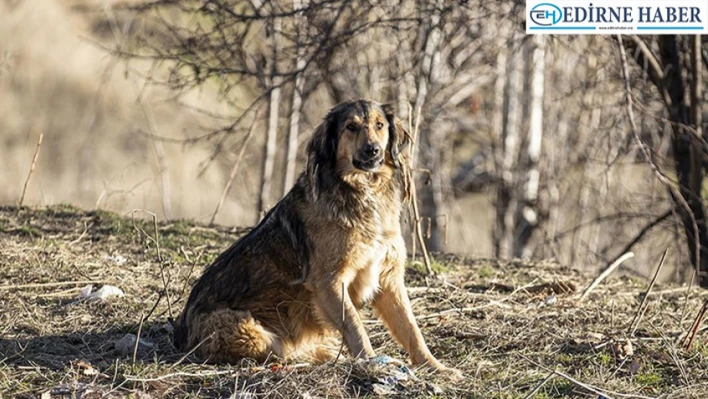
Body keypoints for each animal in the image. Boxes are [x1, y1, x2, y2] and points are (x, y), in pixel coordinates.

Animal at [174, 99, 456, 376]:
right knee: (280, 351)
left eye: (380, 125)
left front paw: (434, 365)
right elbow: (355, 326)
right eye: (351, 127)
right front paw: (372, 362)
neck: (364, 190)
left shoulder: (388, 277)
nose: (373, 150)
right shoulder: (329, 281)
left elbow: (410, 328)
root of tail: (181, 334)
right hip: (249, 331)